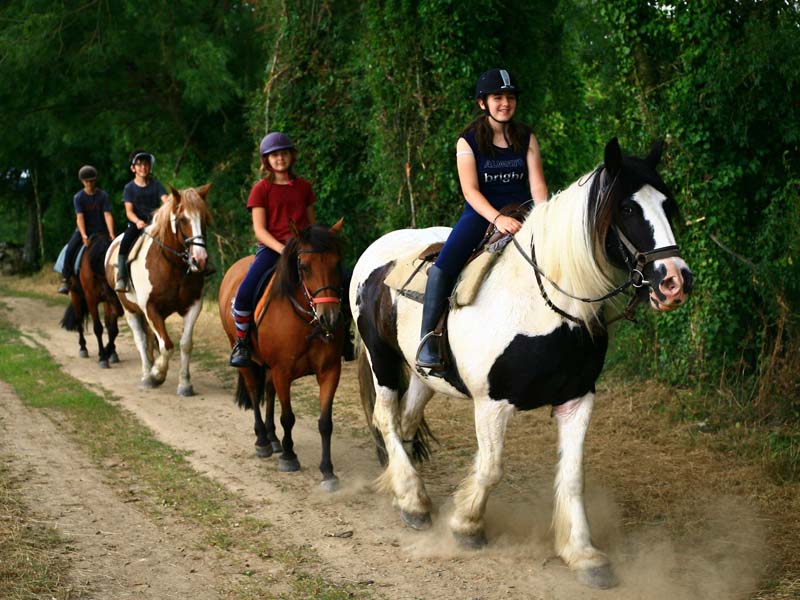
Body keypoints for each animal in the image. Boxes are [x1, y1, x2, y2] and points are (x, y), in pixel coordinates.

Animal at [61, 233, 123, 366]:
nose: (121, 311)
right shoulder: (91, 300)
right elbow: (98, 328)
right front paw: (103, 357)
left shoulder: (108, 300)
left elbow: (112, 329)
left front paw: (110, 352)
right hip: (75, 295)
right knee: (79, 320)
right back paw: (83, 348)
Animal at [106, 185, 212, 396]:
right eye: (183, 219)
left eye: (204, 218)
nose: (200, 260)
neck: (172, 265)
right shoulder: (151, 309)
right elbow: (167, 345)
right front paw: (156, 374)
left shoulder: (193, 305)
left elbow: (185, 344)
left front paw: (185, 384)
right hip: (130, 310)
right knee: (140, 340)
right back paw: (147, 375)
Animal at [217, 220, 346, 492]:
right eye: (304, 267)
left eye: (336, 263)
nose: (329, 317)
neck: (307, 321)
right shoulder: (282, 372)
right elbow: (288, 417)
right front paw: (289, 457)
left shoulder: (330, 370)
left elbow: (325, 422)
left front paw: (327, 472)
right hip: (247, 360)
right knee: (254, 392)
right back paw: (263, 441)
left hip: (268, 367)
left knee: (267, 391)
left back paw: (273, 438)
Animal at [350, 138, 692, 588]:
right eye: (628, 209)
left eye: (666, 205)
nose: (675, 280)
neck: (545, 305)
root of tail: (375, 251)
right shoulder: (491, 403)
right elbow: (491, 467)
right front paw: (466, 526)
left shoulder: (577, 399)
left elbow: (573, 477)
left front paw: (583, 554)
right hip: (383, 361)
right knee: (385, 419)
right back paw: (413, 502)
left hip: (425, 377)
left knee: (404, 423)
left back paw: (406, 489)